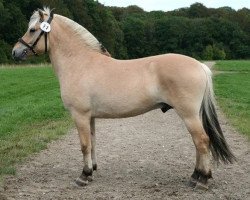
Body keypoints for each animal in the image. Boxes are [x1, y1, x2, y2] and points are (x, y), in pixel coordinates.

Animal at [11, 7, 235, 189]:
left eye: (32, 30)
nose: (15, 52)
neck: (80, 63)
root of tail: (200, 65)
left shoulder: (79, 115)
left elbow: (84, 145)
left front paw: (83, 176)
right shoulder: (90, 117)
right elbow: (92, 142)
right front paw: (91, 171)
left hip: (188, 114)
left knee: (202, 141)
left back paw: (202, 180)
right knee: (198, 143)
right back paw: (195, 176)